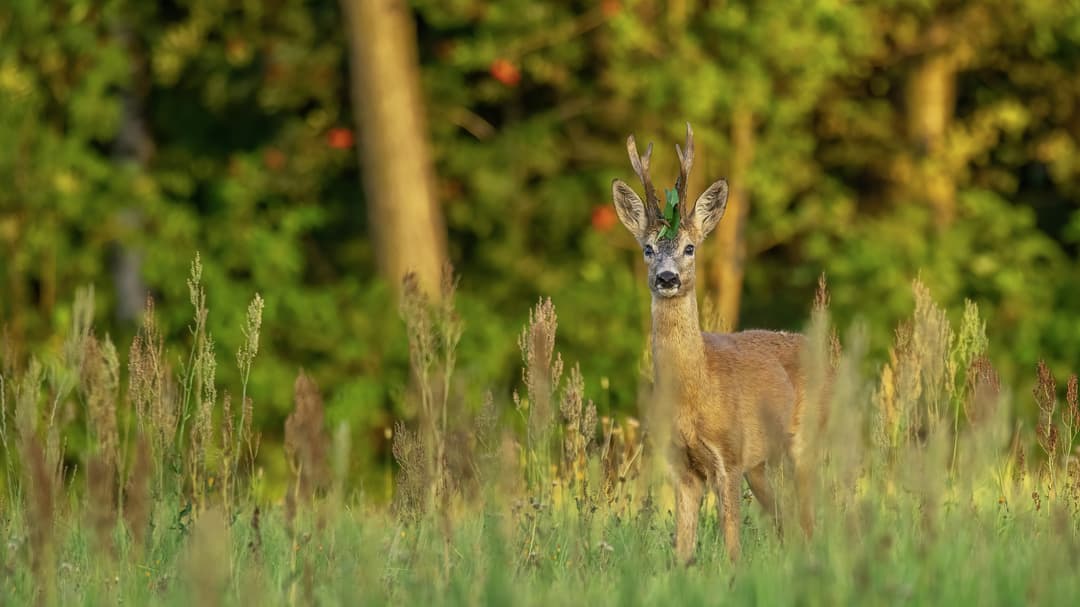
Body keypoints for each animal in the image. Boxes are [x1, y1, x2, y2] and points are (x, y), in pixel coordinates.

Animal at [613, 121, 812, 561]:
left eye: (690, 247)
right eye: (647, 248)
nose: (667, 278)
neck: (697, 390)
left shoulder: (731, 455)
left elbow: (732, 542)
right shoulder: (683, 467)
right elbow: (682, 551)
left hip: (810, 440)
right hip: (763, 466)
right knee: (788, 523)